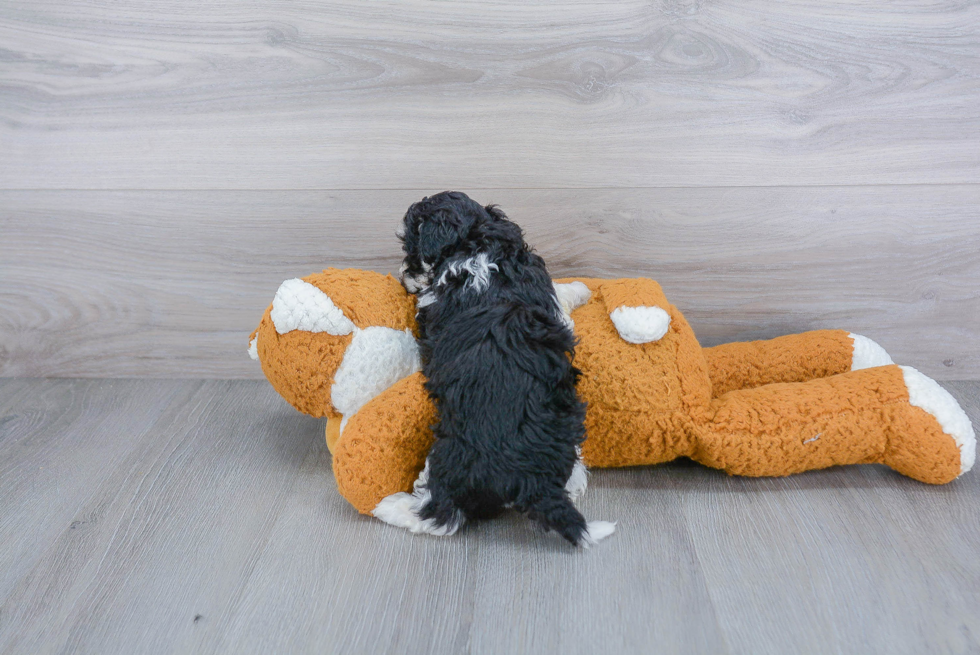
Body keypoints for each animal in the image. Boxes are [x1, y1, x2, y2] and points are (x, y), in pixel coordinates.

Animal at [376, 191, 612, 548]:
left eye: (410, 248)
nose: (402, 274)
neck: (477, 244)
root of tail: (531, 478)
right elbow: (561, 294)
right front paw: (581, 289)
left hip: (450, 460)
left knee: (440, 514)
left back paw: (391, 506)